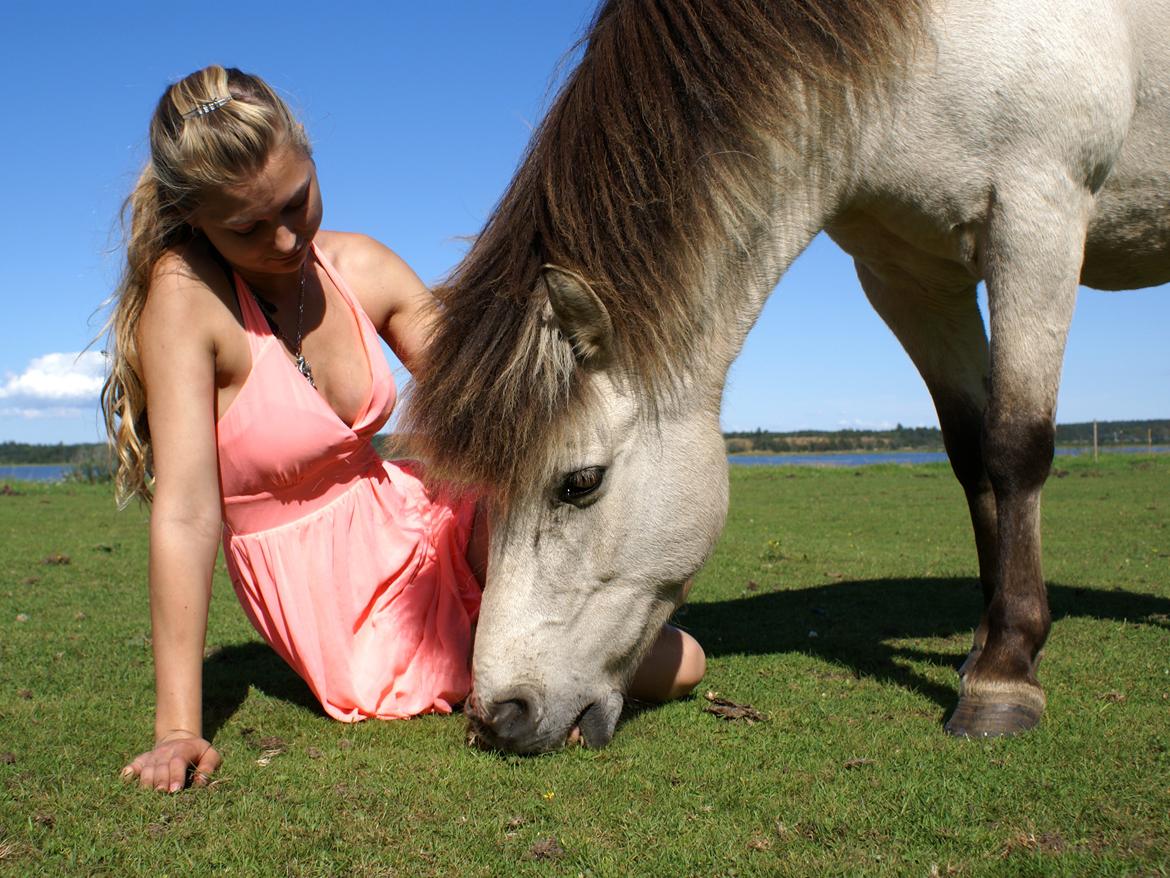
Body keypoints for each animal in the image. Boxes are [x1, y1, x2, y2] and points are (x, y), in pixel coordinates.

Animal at [404, 1, 1170, 758]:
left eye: (580, 482)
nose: (496, 716)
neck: (930, 40)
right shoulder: (910, 276)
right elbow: (970, 453)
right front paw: (986, 645)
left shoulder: (1037, 212)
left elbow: (1014, 446)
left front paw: (1004, 674)